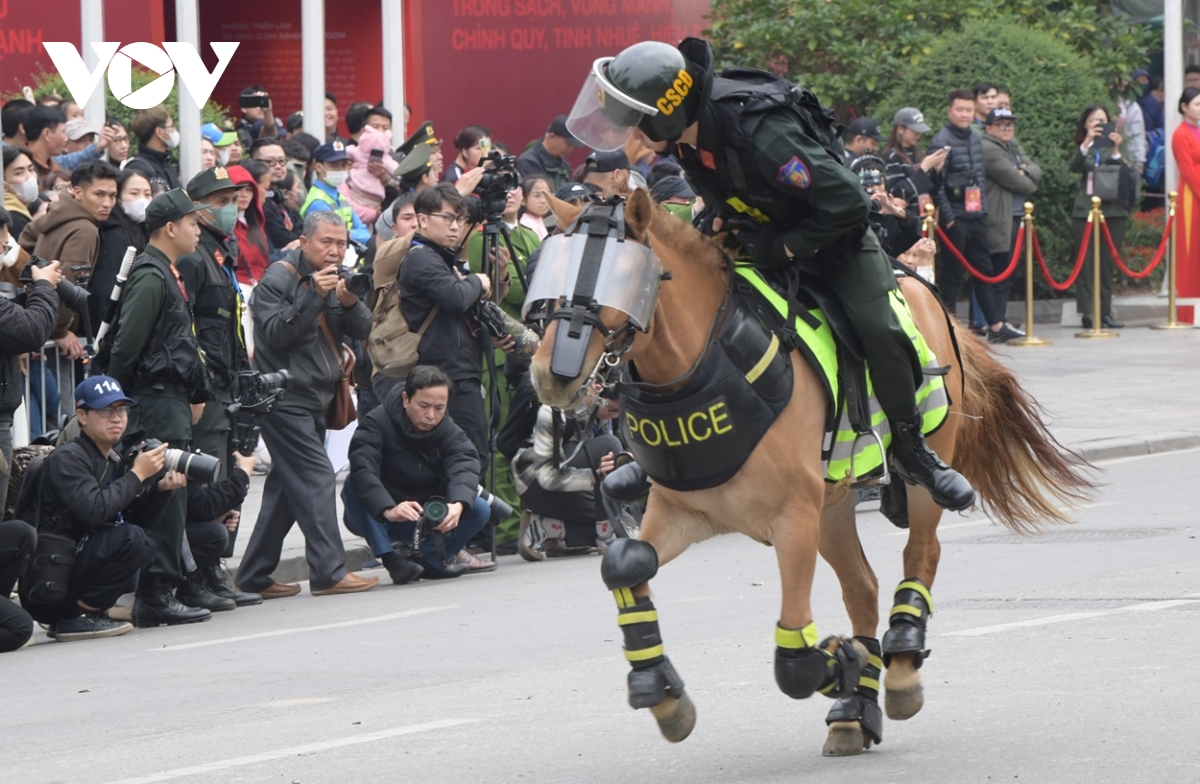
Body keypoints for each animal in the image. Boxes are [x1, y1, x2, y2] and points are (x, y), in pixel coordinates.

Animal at [530, 186, 1094, 753]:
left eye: (623, 275)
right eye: (549, 276)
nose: (551, 375)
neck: (709, 364)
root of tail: (920, 284)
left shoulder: (792, 521)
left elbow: (794, 664)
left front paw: (845, 659)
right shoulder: (684, 513)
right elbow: (626, 564)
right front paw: (659, 687)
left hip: (913, 469)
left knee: (921, 552)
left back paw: (898, 663)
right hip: (833, 503)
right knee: (862, 586)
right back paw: (855, 709)